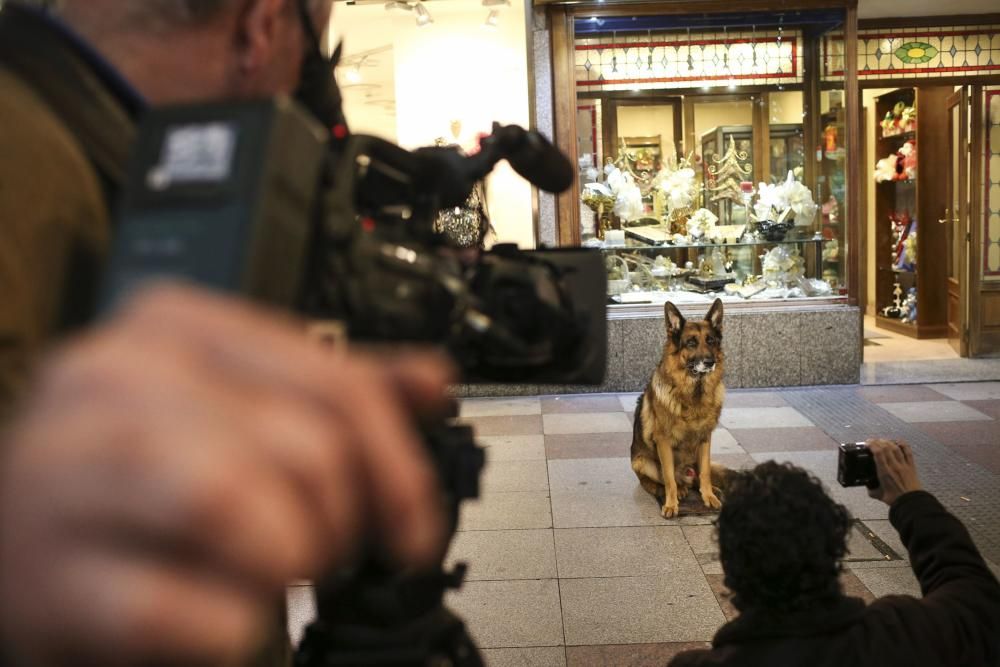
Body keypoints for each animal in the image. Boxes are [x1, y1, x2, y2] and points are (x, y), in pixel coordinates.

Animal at [632, 300, 728, 520]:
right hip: (642, 462)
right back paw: (677, 491)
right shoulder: (663, 442)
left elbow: (705, 473)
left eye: (711, 341)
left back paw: (709, 489)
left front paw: (709, 496)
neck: (693, 395)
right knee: (656, 482)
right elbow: (668, 477)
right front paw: (671, 504)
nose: (710, 362)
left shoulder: (705, 438)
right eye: (691, 343)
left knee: (697, 477)